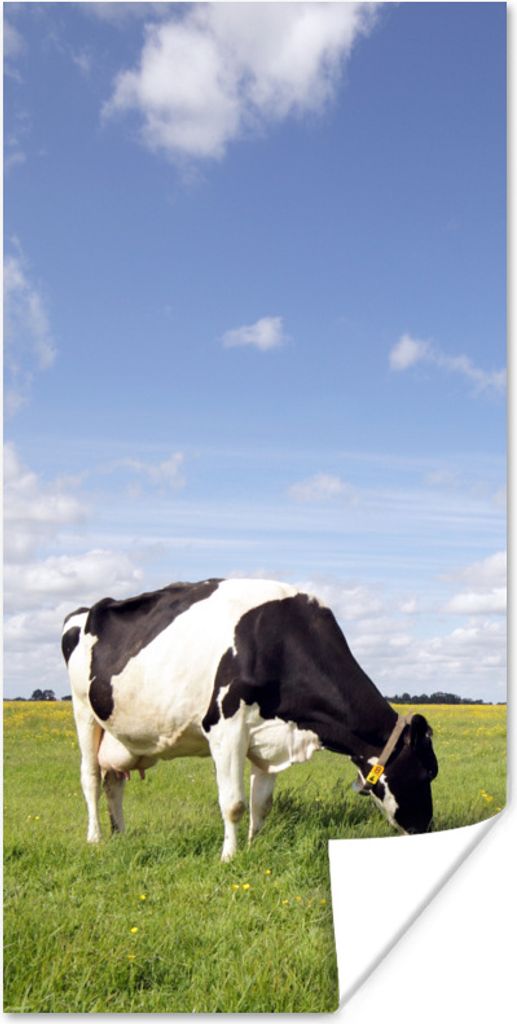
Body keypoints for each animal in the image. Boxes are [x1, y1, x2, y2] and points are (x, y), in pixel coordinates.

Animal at [61, 577, 438, 860]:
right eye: (427, 773)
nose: (427, 828)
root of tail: (85, 611)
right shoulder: (225, 728)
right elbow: (234, 804)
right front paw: (229, 857)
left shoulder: (271, 737)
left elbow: (262, 803)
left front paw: (254, 846)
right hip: (84, 712)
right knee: (90, 777)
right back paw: (95, 837)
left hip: (119, 734)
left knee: (113, 782)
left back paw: (121, 834)